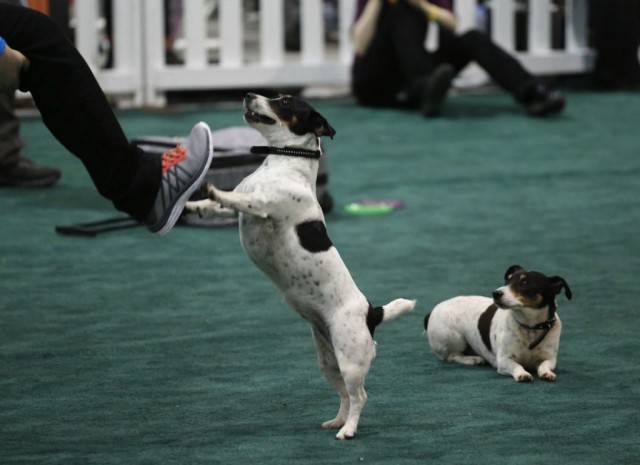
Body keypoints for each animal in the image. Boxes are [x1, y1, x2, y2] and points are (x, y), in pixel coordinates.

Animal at [185, 93, 416, 438]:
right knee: (344, 394)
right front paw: (191, 204)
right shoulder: (242, 205)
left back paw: (348, 430)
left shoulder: (261, 205)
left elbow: (232, 198)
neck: (282, 162)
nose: (248, 95)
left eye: (283, 102)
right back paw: (338, 420)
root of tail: (372, 312)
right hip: (328, 360)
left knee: (359, 395)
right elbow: (217, 205)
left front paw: (212, 189)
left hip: (351, 358)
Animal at [424, 264, 568, 380]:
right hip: (455, 338)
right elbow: (517, 366)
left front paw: (547, 373)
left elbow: (544, 365)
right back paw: (472, 359)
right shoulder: (504, 361)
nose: (496, 293)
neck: (530, 327)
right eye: (507, 280)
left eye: (524, 282)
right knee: (452, 356)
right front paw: (523, 374)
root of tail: (432, 311)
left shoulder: (549, 359)